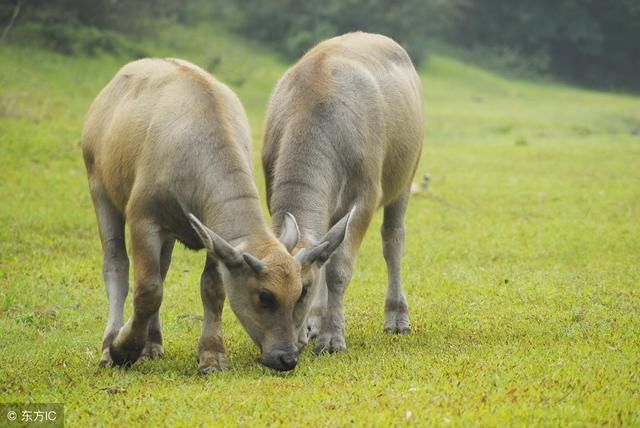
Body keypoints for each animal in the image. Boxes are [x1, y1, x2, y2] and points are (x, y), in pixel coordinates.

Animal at [262, 32, 422, 354]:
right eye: (263, 294)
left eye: (303, 290)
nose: (287, 345)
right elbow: (323, 259)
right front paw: (316, 326)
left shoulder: (365, 197)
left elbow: (338, 269)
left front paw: (332, 338)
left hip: (404, 179)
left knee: (393, 241)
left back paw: (397, 317)